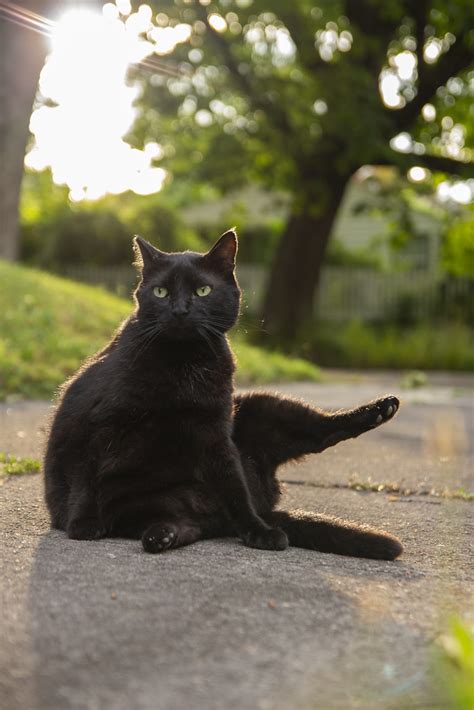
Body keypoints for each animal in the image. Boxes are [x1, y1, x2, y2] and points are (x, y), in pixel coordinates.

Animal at [44, 232, 402, 560]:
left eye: (203, 290)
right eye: (161, 292)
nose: (180, 310)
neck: (183, 364)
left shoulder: (216, 430)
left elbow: (234, 485)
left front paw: (257, 532)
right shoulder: (98, 422)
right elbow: (85, 475)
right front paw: (83, 523)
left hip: (261, 406)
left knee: (320, 434)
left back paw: (381, 409)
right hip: (147, 504)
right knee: (182, 525)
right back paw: (161, 535)